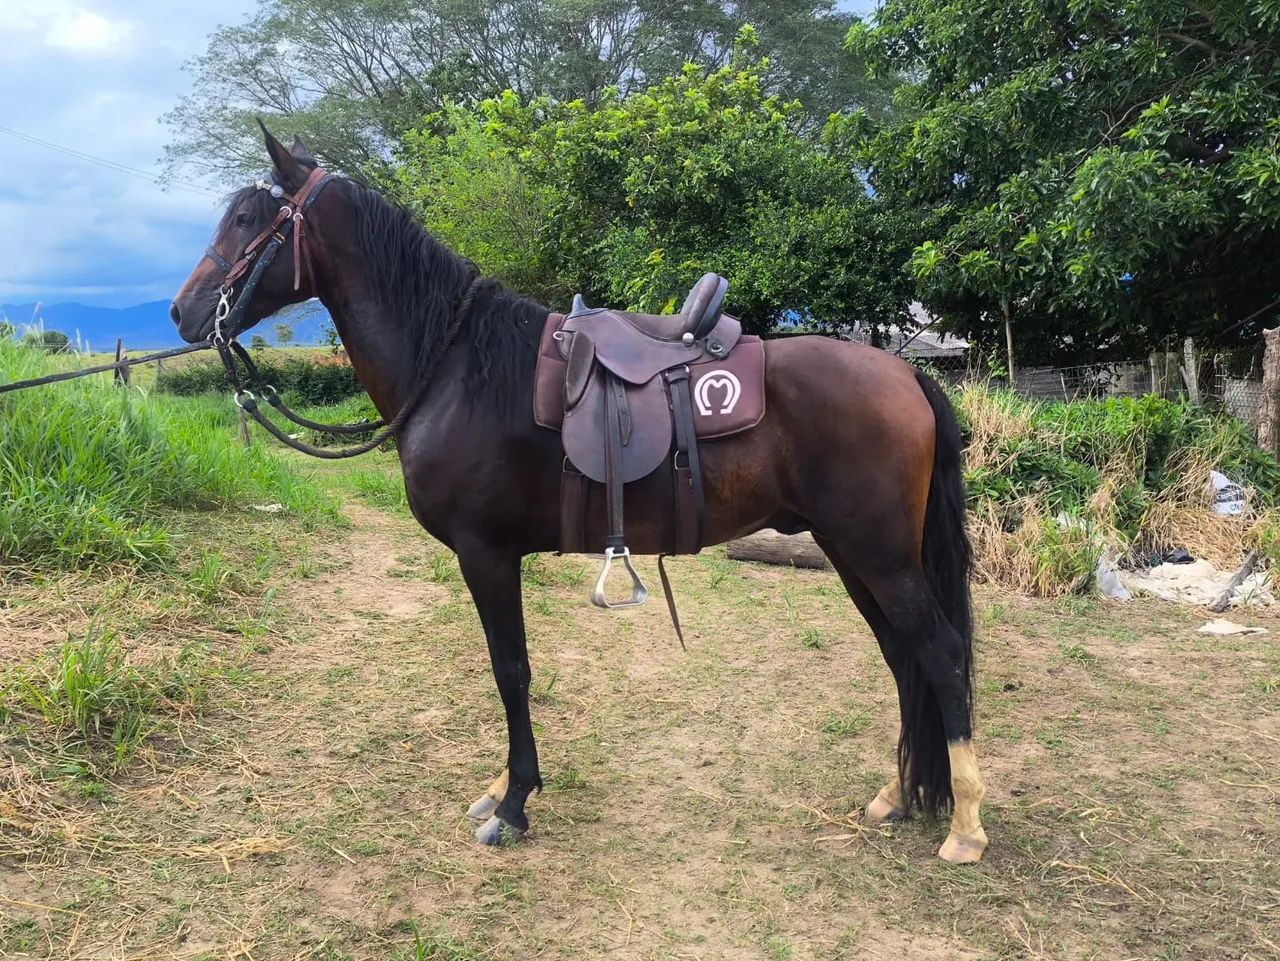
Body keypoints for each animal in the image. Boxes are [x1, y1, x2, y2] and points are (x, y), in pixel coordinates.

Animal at [169, 125, 989, 864]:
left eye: (249, 220)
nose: (184, 312)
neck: (456, 369)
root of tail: (908, 374)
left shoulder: (486, 554)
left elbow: (511, 671)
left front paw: (513, 803)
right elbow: (512, 670)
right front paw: (502, 787)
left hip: (879, 556)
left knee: (941, 653)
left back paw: (965, 826)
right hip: (854, 555)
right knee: (903, 656)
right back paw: (898, 795)